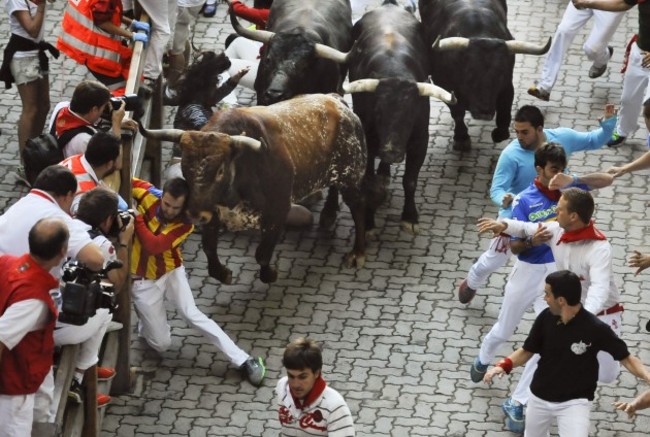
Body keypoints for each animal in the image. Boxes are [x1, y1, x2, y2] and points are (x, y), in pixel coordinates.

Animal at [139, 94, 368, 284]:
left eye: (220, 170)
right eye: (185, 167)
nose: (195, 215)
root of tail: (338, 101)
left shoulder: (277, 212)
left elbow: (262, 254)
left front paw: (270, 274)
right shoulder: (213, 213)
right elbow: (209, 248)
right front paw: (223, 273)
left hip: (351, 177)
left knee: (358, 209)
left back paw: (357, 252)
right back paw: (328, 215)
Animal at [344, 3, 456, 235]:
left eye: (411, 114)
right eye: (377, 112)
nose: (391, 151)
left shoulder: (420, 140)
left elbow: (410, 180)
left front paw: (410, 217)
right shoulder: (368, 140)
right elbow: (369, 182)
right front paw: (368, 223)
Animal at [418, 0, 548, 151]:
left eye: (500, 73)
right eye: (469, 72)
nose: (484, 112)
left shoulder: (507, 84)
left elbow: (504, 112)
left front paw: (499, 134)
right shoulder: (444, 85)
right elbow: (457, 112)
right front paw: (461, 139)